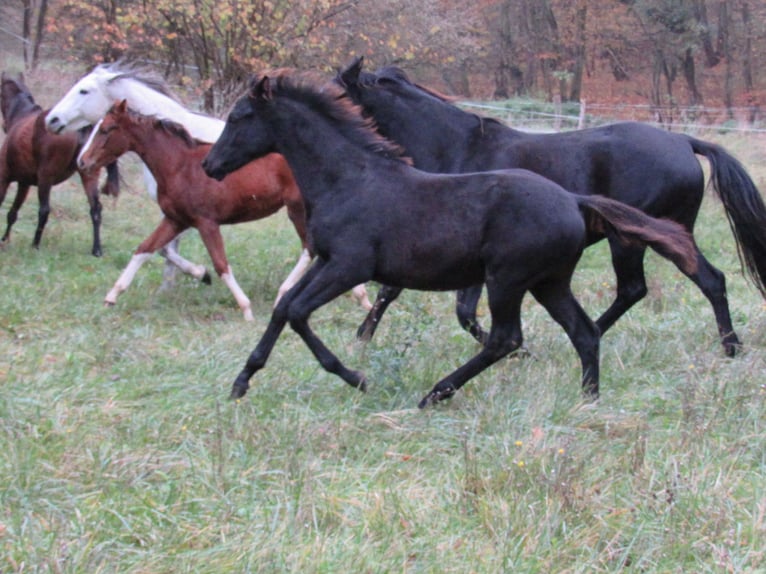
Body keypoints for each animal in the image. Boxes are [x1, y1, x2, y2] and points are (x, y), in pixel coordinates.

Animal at [0, 72, 119, 256]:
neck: (21, 115)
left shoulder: (5, 177)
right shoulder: (24, 183)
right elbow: (12, 213)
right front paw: (5, 239)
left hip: (45, 178)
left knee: (44, 210)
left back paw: (35, 245)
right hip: (89, 175)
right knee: (96, 209)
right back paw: (97, 249)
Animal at [77, 99, 370, 319]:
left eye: (107, 129)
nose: (83, 161)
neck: (179, 166)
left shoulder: (206, 222)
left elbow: (220, 264)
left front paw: (246, 309)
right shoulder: (175, 220)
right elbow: (144, 249)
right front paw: (111, 297)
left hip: (297, 209)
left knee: (309, 247)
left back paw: (285, 294)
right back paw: (359, 296)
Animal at [201, 72, 698, 407]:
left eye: (239, 117)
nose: (209, 165)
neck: (349, 179)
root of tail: (575, 201)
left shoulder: (348, 265)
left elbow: (300, 313)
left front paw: (356, 376)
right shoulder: (326, 260)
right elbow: (284, 307)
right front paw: (243, 380)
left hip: (507, 280)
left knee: (506, 339)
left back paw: (435, 393)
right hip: (548, 282)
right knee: (584, 332)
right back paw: (587, 400)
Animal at [337, 57, 766, 357]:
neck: (457, 149)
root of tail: (684, 142)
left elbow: (453, 308)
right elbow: (396, 291)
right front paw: (361, 339)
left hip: (633, 238)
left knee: (654, 286)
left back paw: (726, 347)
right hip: (665, 233)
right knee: (695, 282)